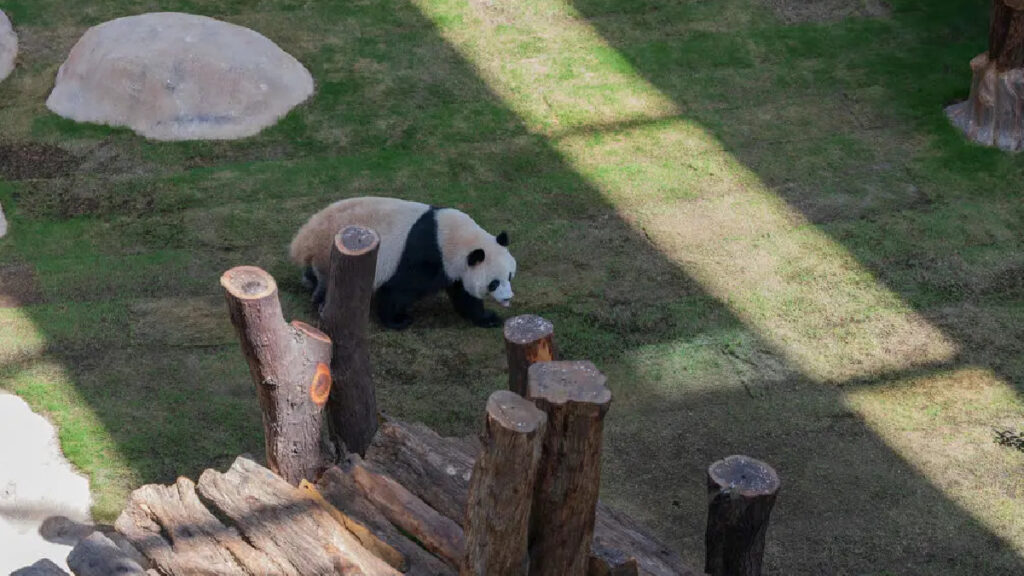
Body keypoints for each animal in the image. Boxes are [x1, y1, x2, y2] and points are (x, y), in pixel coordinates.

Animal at [288, 194, 516, 327]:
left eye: (510, 276)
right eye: (494, 283)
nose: (508, 298)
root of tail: (305, 238)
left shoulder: (456, 267)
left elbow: (464, 296)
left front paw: (488, 318)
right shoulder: (425, 255)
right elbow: (399, 289)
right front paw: (398, 320)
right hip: (332, 255)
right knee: (330, 283)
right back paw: (320, 303)